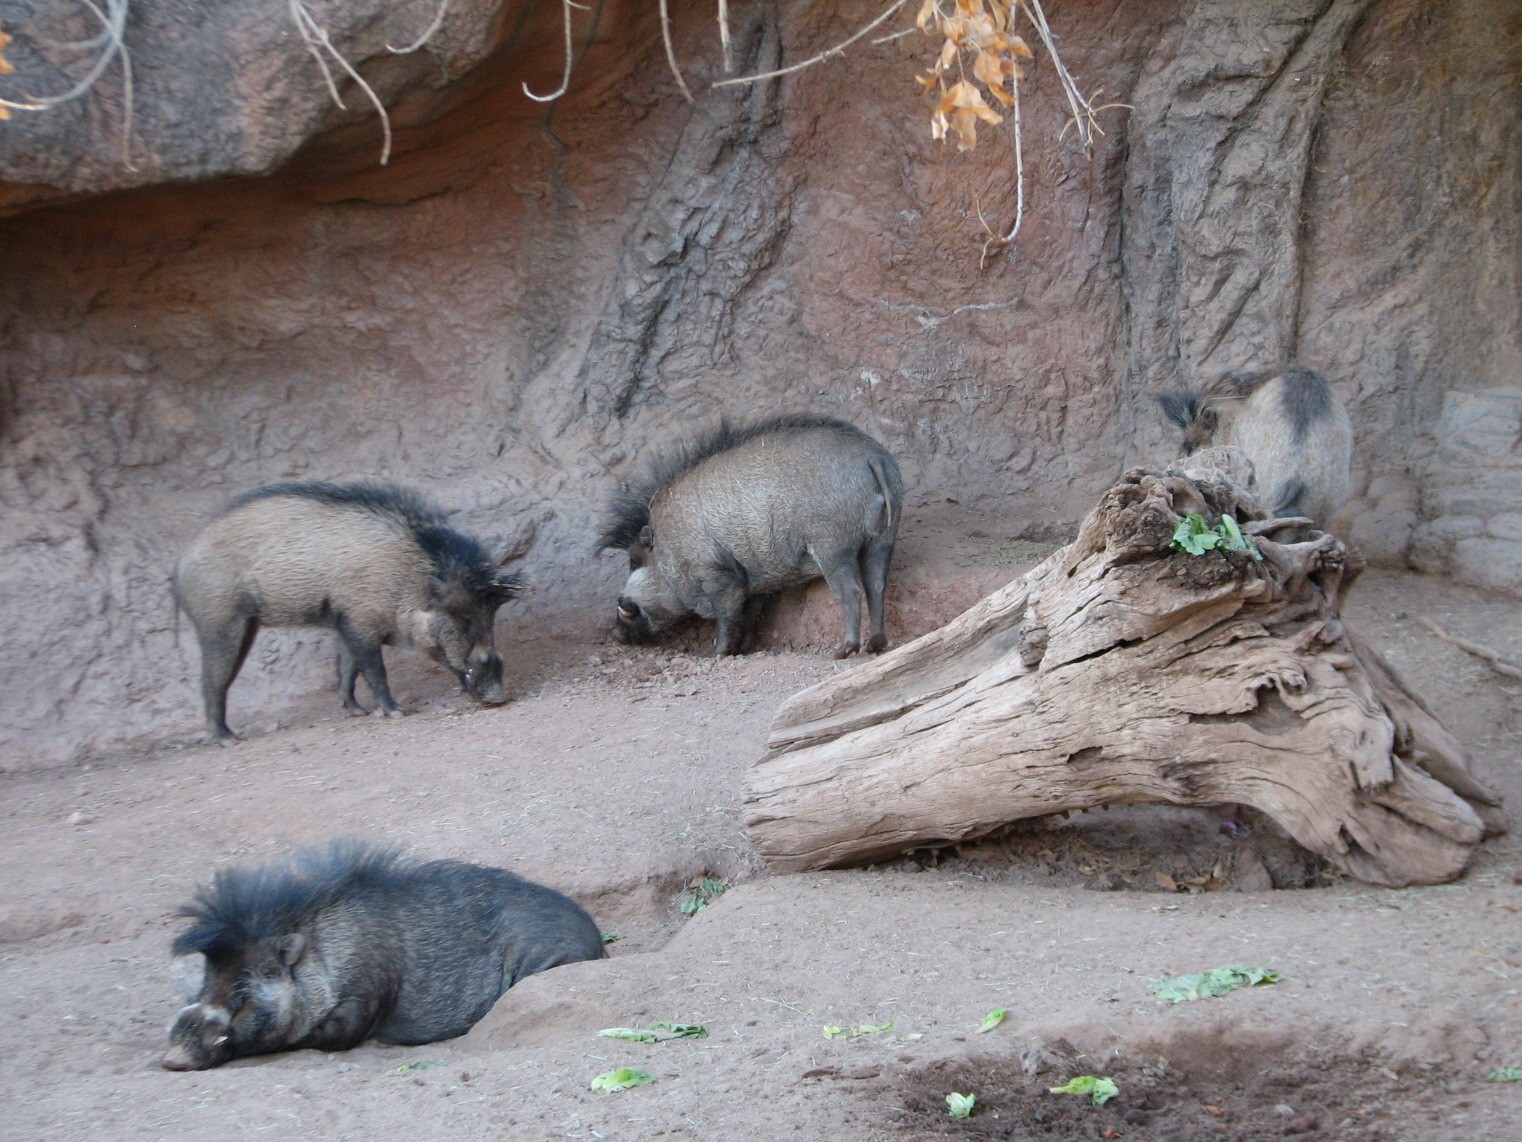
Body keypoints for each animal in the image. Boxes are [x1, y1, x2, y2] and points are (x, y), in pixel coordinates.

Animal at [162, 842, 606, 1070]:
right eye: (203, 981)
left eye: (242, 994)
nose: (171, 1058)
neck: (326, 954)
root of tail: (597, 939)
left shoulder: (363, 995)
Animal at [173, 481, 523, 742]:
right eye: (462, 619)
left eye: (490, 617)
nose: (498, 697)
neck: (404, 576)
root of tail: (179, 568)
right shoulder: (360, 621)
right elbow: (373, 670)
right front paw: (396, 712)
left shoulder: (344, 621)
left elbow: (347, 668)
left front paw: (358, 712)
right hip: (219, 622)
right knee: (213, 679)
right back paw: (227, 739)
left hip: (245, 625)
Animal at [598, 415, 904, 658]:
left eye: (635, 561)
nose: (615, 634)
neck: (667, 546)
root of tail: (872, 456)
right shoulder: (755, 584)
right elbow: (748, 617)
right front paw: (742, 650)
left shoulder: (719, 576)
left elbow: (727, 615)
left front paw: (717, 654)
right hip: (883, 539)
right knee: (876, 585)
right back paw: (875, 645)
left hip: (831, 546)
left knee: (851, 590)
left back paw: (843, 651)